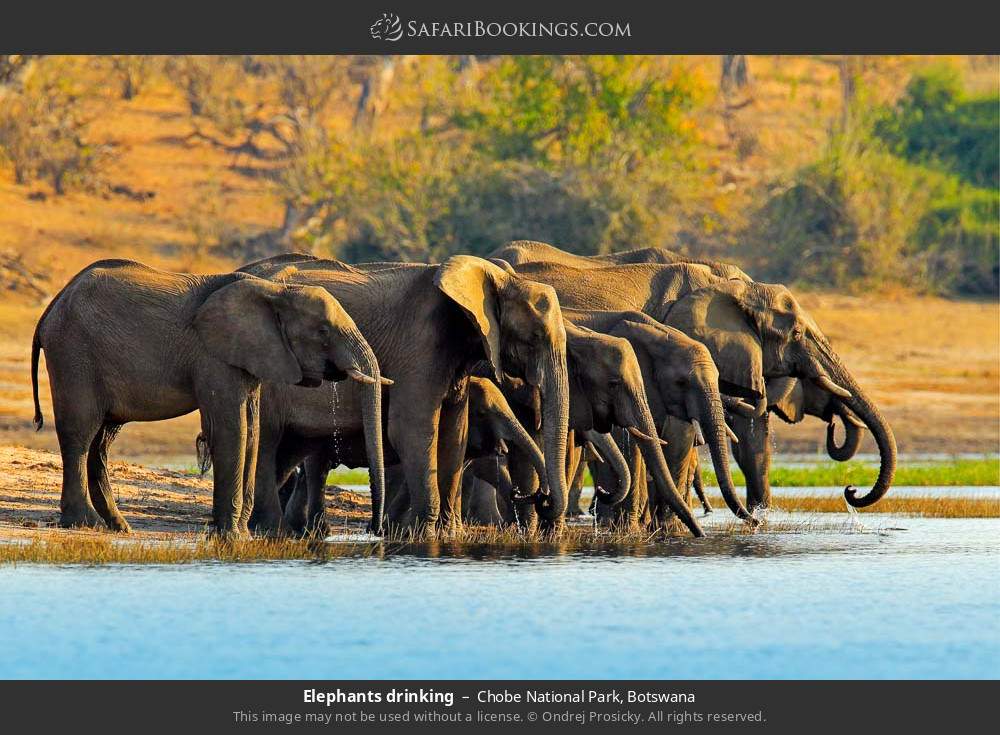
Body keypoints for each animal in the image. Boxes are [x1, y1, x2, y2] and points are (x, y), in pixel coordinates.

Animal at [27, 258, 386, 536]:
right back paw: (85, 524)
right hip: (73, 354)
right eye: (323, 331)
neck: (275, 293)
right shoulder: (214, 356)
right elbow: (232, 429)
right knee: (80, 433)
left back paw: (119, 526)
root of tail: (50, 308)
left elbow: (252, 431)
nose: (375, 530)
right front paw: (232, 535)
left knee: (102, 441)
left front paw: (239, 533)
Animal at [237, 253, 576, 536]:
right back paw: (274, 531)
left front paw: (448, 534)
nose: (540, 497)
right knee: (268, 445)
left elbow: (454, 433)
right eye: (535, 337)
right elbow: (413, 430)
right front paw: (424, 534)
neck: (497, 277)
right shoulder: (419, 348)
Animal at [508, 260, 900, 512]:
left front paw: (761, 519)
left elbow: (752, 437)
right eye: (797, 333)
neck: (736, 288)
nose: (851, 491)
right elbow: (679, 435)